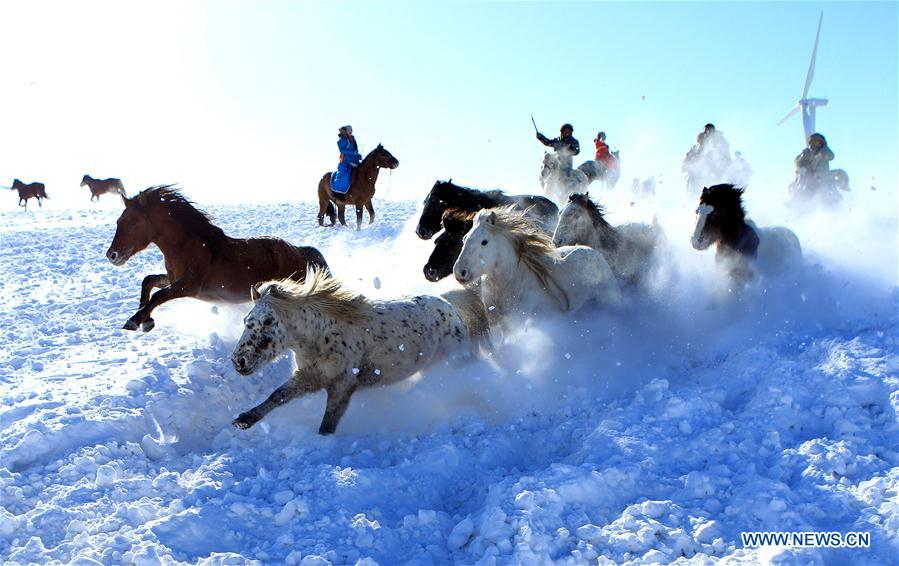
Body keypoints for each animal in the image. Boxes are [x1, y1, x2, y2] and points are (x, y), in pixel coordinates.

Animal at [107, 186, 328, 332]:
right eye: (118, 221)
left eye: (133, 222)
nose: (112, 255)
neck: (186, 246)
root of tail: (300, 252)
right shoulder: (174, 279)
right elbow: (148, 281)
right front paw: (146, 320)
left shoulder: (189, 286)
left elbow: (159, 295)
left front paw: (134, 321)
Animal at [229, 270, 488, 434]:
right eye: (245, 321)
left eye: (268, 321)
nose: (239, 361)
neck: (320, 337)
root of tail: (449, 306)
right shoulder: (309, 378)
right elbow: (278, 395)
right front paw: (245, 420)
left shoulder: (342, 386)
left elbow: (328, 424)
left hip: (456, 361)